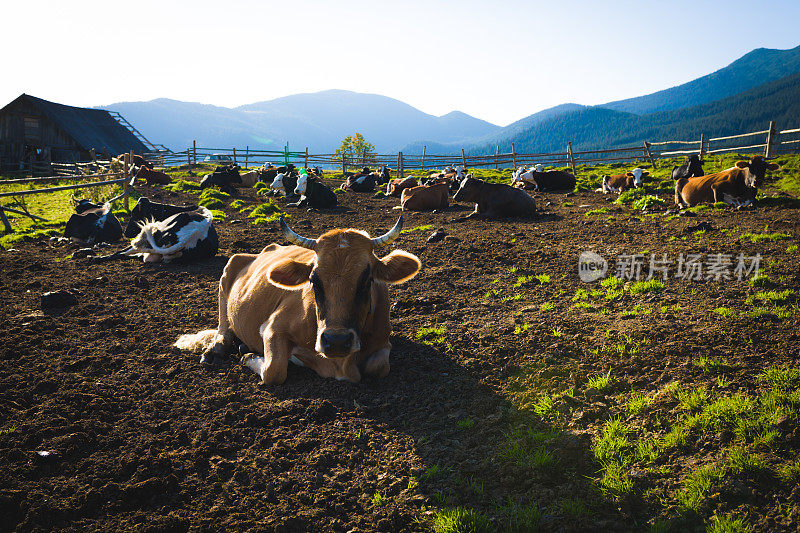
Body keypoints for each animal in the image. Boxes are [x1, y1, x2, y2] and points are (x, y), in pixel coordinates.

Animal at [173, 216, 422, 382]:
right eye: (313, 280)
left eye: (367, 280)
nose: (337, 341)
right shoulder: (272, 327)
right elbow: (274, 370)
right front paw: (251, 356)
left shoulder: (383, 341)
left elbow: (379, 367)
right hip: (227, 275)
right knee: (223, 328)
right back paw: (215, 350)